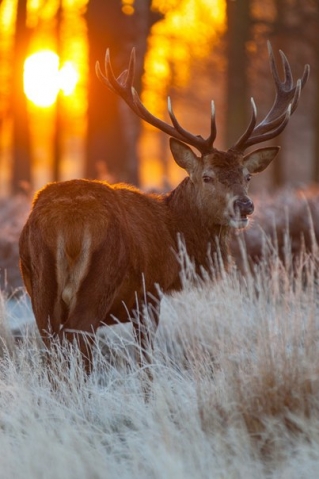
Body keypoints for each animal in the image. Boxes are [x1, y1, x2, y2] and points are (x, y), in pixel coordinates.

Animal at [18, 43, 308, 372]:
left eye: (247, 176)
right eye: (207, 176)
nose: (245, 206)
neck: (174, 235)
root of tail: (68, 223)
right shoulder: (150, 293)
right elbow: (145, 360)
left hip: (38, 285)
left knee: (51, 350)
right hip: (99, 281)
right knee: (78, 342)